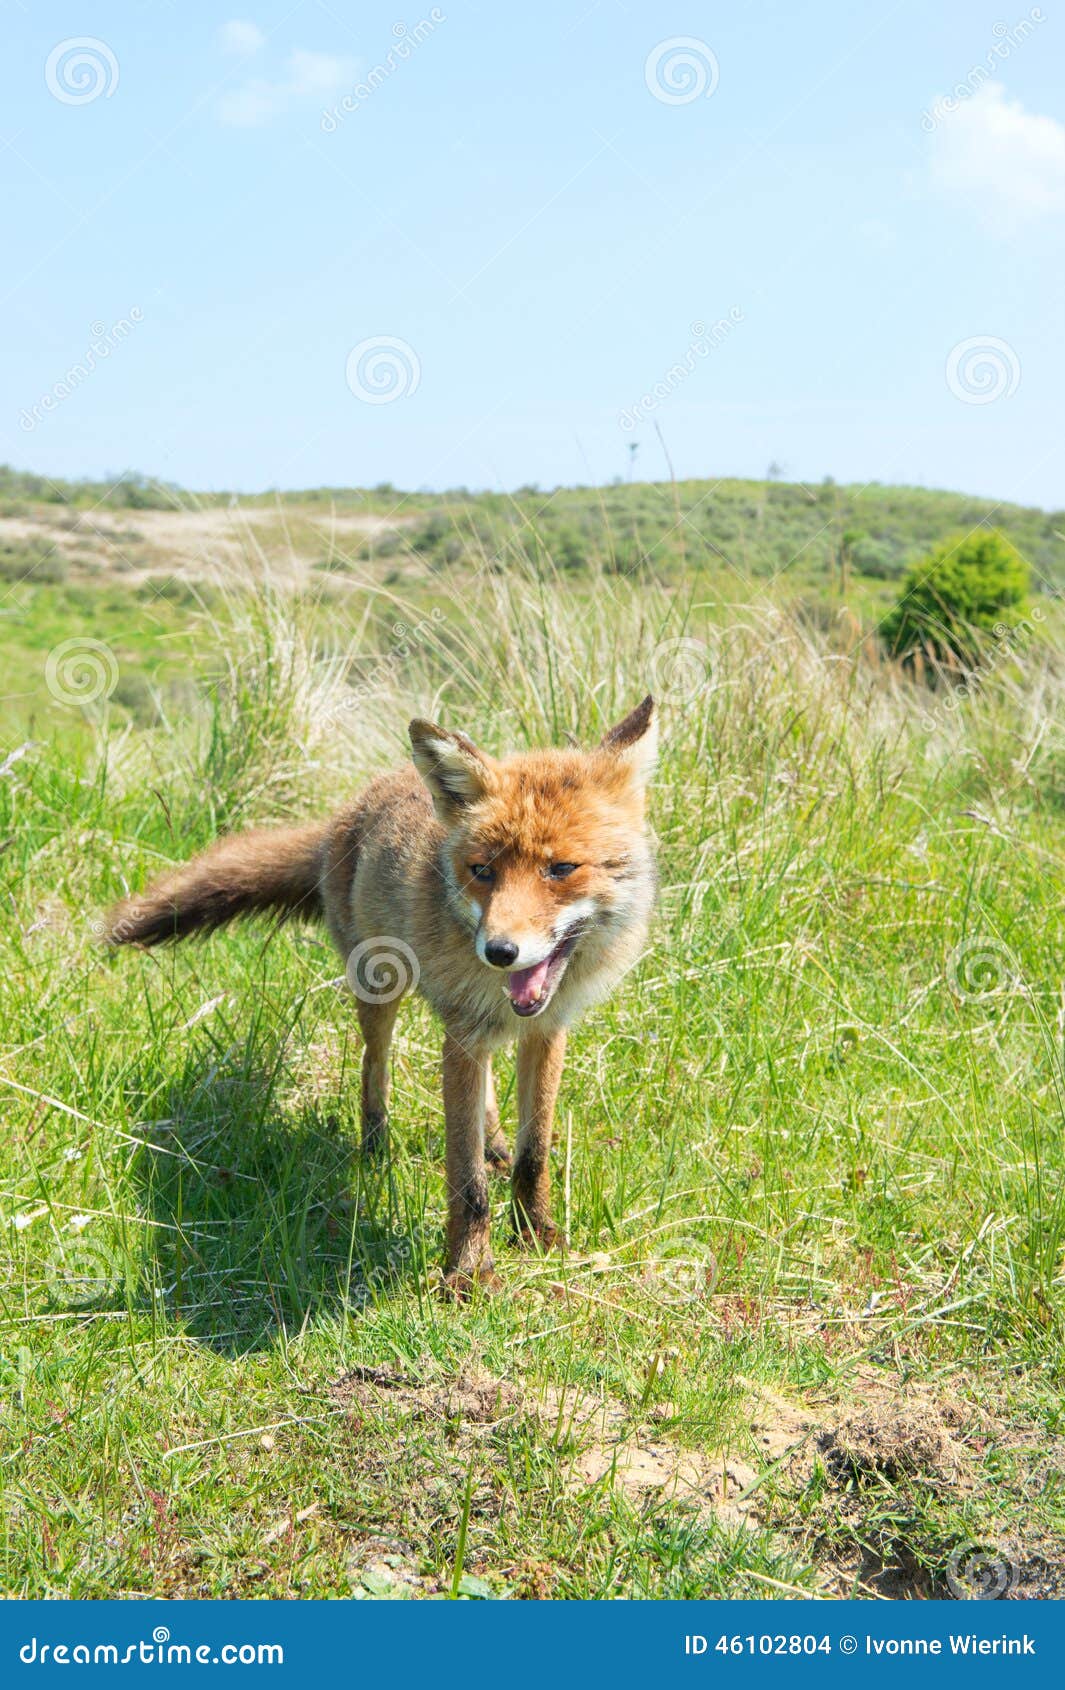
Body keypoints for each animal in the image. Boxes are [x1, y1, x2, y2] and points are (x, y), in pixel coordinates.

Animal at [105, 696, 657, 1294]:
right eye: (482, 871)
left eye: (561, 868)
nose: (500, 951)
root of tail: (349, 809)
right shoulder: (465, 1033)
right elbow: (465, 1182)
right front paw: (468, 1272)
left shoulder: (544, 1031)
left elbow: (534, 1156)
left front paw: (537, 1236)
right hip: (378, 989)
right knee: (374, 1067)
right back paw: (375, 1149)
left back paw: (492, 1144)